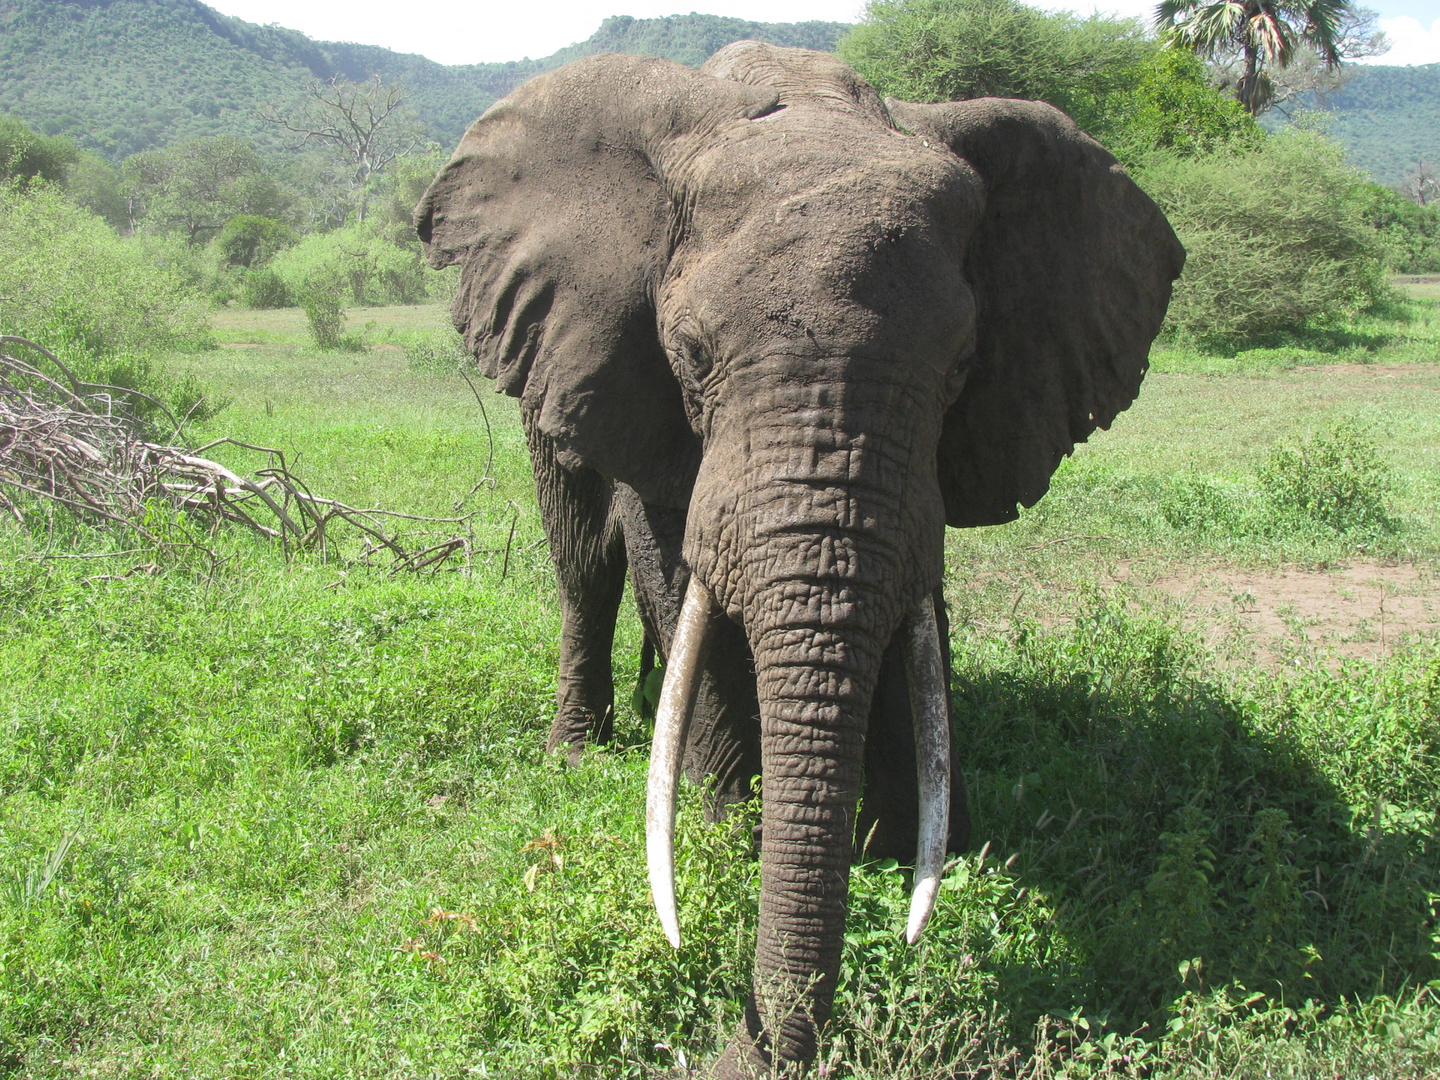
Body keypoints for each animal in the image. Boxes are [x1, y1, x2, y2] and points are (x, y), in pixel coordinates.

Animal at [417, 42, 1180, 1080]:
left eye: (962, 367)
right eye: (689, 356)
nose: (746, 1041)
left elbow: (914, 611)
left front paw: (925, 849)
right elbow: (674, 572)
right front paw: (727, 837)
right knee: (584, 559)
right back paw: (576, 753)